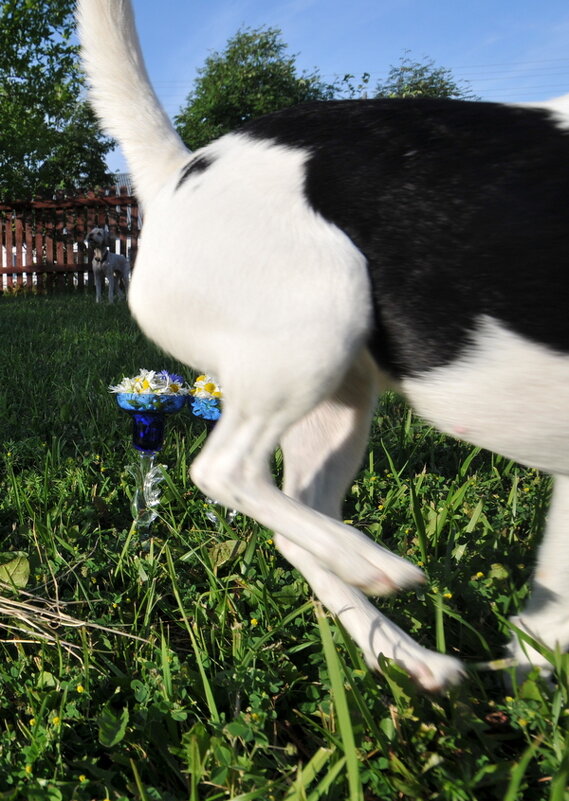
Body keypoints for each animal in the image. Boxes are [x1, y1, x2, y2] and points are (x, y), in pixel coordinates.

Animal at [76, 0, 568, 688]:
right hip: (318, 323)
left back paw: (406, 655)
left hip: (337, 397)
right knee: (223, 470)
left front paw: (528, 672)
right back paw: (373, 564)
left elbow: (550, 614)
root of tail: (181, 170)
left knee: (293, 522)